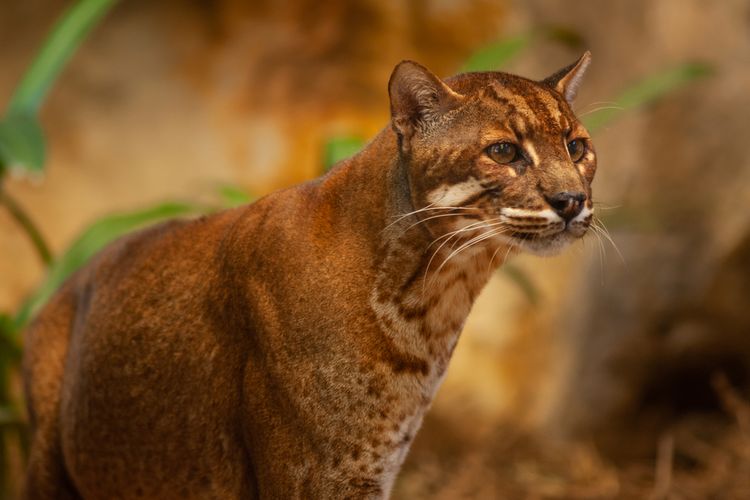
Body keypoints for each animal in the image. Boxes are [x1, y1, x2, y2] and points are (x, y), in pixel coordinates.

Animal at [23, 52, 596, 498]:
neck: (432, 293)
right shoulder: (317, 475)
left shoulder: (372, 469)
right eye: (503, 151)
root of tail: (64, 287)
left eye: (577, 147)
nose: (573, 200)